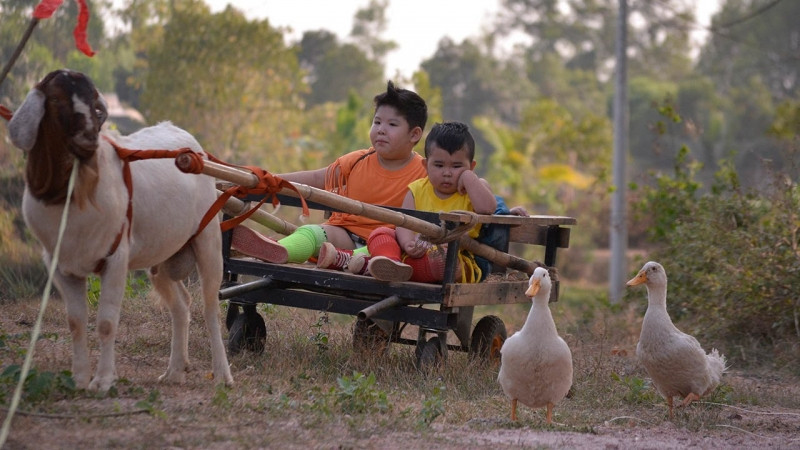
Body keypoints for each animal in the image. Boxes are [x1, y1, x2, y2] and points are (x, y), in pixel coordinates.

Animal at [10, 68, 234, 392]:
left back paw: (222, 374)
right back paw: (174, 370)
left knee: (210, 307)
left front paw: (103, 380)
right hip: (162, 259)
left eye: (94, 102)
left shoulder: (115, 258)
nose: (89, 138)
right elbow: (75, 322)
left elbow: (106, 323)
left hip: (209, 240)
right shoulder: (61, 265)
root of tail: (191, 146)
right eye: (55, 98)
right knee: (181, 305)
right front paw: (79, 378)